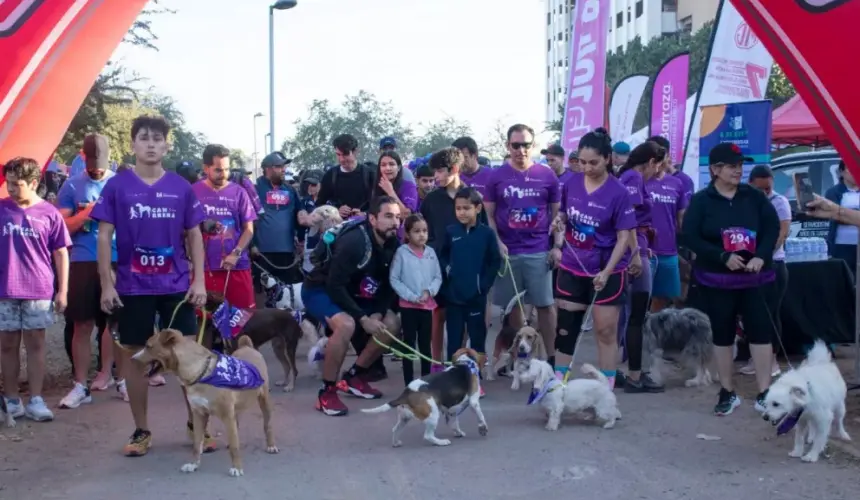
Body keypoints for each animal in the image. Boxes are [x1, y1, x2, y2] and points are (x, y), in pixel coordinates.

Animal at [133, 330, 278, 478]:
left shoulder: (227, 415)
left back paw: (271, 445)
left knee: (267, 425)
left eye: (148, 346)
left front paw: (237, 467)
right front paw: (193, 464)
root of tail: (247, 347)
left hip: (264, 401)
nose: (133, 358)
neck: (200, 373)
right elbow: (197, 444)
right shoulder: (199, 414)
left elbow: (234, 446)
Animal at [360, 348, 488, 450]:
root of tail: (406, 393)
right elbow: (481, 416)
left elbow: (454, 423)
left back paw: (396, 443)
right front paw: (483, 429)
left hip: (404, 417)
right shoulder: (474, 402)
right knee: (428, 435)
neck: (466, 362)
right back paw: (441, 442)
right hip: (432, 414)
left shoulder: (451, 411)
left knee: (395, 429)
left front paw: (458, 432)